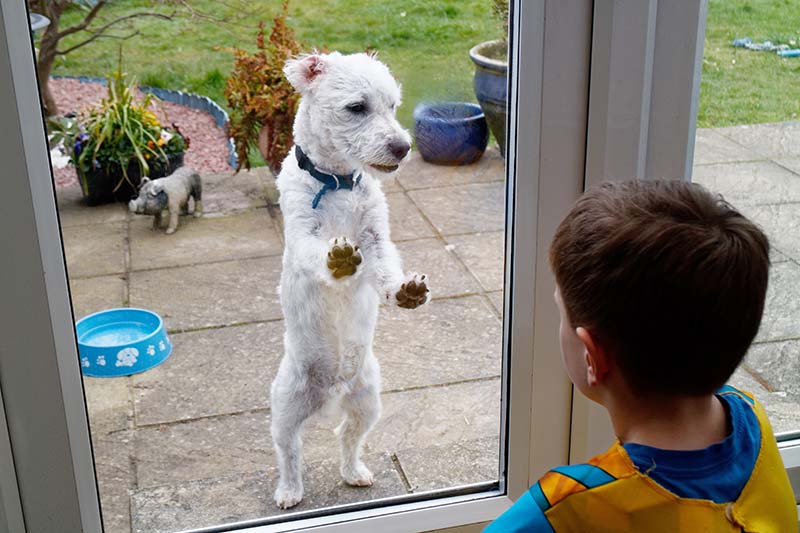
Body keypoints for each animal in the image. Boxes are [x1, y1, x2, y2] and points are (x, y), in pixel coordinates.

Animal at [268, 52, 432, 510]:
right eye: (357, 107)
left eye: (393, 106)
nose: (403, 148)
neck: (337, 181)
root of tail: (331, 396)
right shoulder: (301, 233)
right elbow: (315, 253)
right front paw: (338, 259)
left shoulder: (376, 239)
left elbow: (385, 269)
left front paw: (405, 291)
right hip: (285, 405)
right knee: (289, 451)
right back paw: (289, 490)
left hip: (367, 399)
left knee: (348, 437)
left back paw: (354, 472)